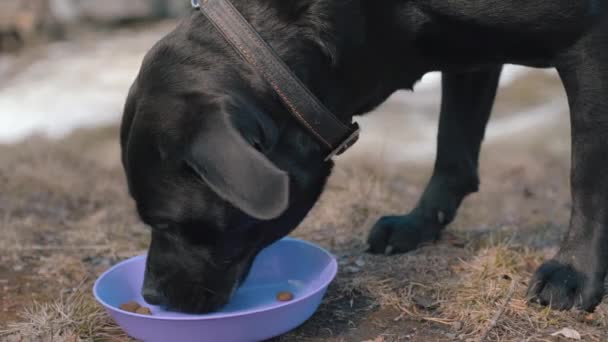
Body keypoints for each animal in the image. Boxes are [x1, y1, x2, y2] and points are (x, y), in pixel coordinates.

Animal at [120, 0, 608, 314]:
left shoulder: (588, 39)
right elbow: (453, 150)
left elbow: (587, 174)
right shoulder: (469, 53)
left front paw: (574, 271)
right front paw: (418, 224)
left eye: (166, 223)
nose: (151, 296)